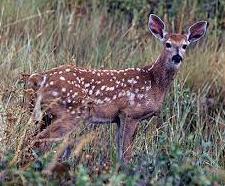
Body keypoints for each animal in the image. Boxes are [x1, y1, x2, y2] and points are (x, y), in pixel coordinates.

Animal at [25, 14, 207, 162]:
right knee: (41, 140)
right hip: (71, 112)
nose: (177, 57)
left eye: (185, 45)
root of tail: (40, 78)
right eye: (167, 44)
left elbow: (119, 151)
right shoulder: (131, 113)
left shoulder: (118, 118)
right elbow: (126, 154)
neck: (154, 82)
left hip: (47, 115)